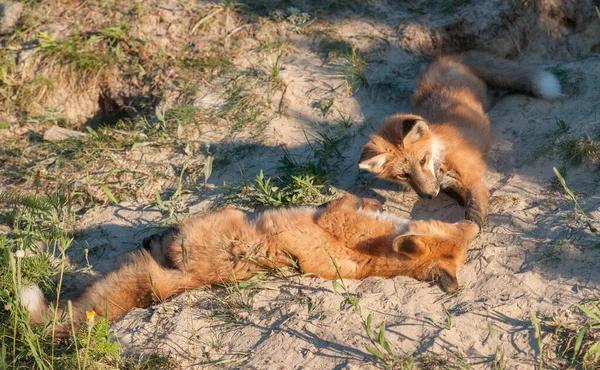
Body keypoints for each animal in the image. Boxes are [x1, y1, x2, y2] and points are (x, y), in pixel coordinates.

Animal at [18, 194, 478, 338]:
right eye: (452, 228)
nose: (473, 220)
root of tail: (190, 281)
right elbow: (356, 199)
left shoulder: (336, 220)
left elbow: (338, 201)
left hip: (208, 227)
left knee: (163, 245)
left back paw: (158, 238)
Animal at [356, 51, 564, 227]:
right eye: (403, 175)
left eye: (423, 160)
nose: (430, 195)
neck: (441, 159)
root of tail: (447, 58)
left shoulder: (474, 181)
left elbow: (473, 213)